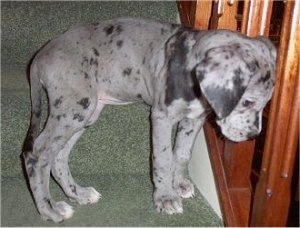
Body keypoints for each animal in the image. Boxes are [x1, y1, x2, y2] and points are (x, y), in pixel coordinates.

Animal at [22, 18, 276, 223]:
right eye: (247, 102)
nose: (253, 135)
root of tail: (40, 56)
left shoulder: (193, 120)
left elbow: (182, 153)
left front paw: (179, 183)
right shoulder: (161, 117)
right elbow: (162, 157)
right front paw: (165, 197)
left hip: (85, 113)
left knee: (58, 157)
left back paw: (78, 194)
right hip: (74, 108)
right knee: (38, 155)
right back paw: (49, 210)